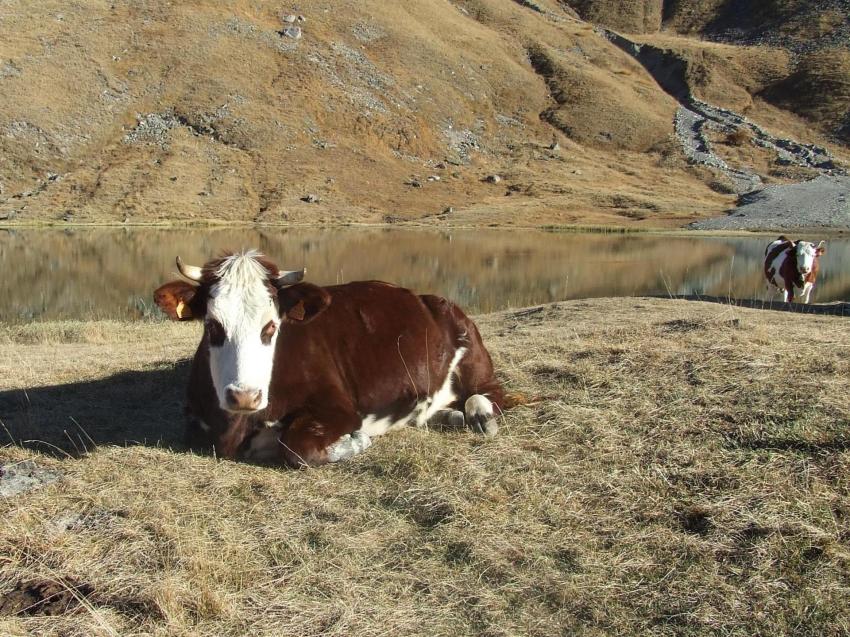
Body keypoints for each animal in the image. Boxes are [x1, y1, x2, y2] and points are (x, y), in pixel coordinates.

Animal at [153, 250, 506, 468]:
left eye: (271, 326)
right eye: (213, 325)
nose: (244, 396)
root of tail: (427, 297)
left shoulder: (339, 408)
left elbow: (298, 447)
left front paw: (356, 442)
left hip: (474, 357)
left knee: (492, 392)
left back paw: (480, 415)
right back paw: (450, 416)